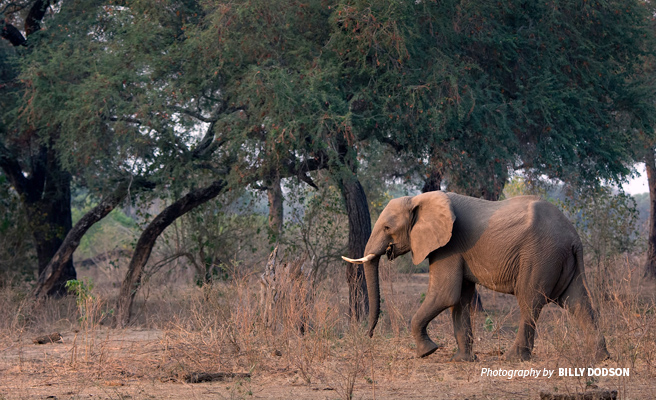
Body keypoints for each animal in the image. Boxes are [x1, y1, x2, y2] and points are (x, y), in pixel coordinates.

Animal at [344, 191, 608, 362]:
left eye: (387, 228)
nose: (368, 335)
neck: (418, 199)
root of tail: (574, 237)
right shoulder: (456, 250)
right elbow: (459, 299)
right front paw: (462, 360)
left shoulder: (448, 246)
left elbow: (444, 294)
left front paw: (426, 352)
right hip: (560, 259)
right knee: (578, 301)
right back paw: (600, 358)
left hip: (541, 256)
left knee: (530, 302)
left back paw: (513, 359)